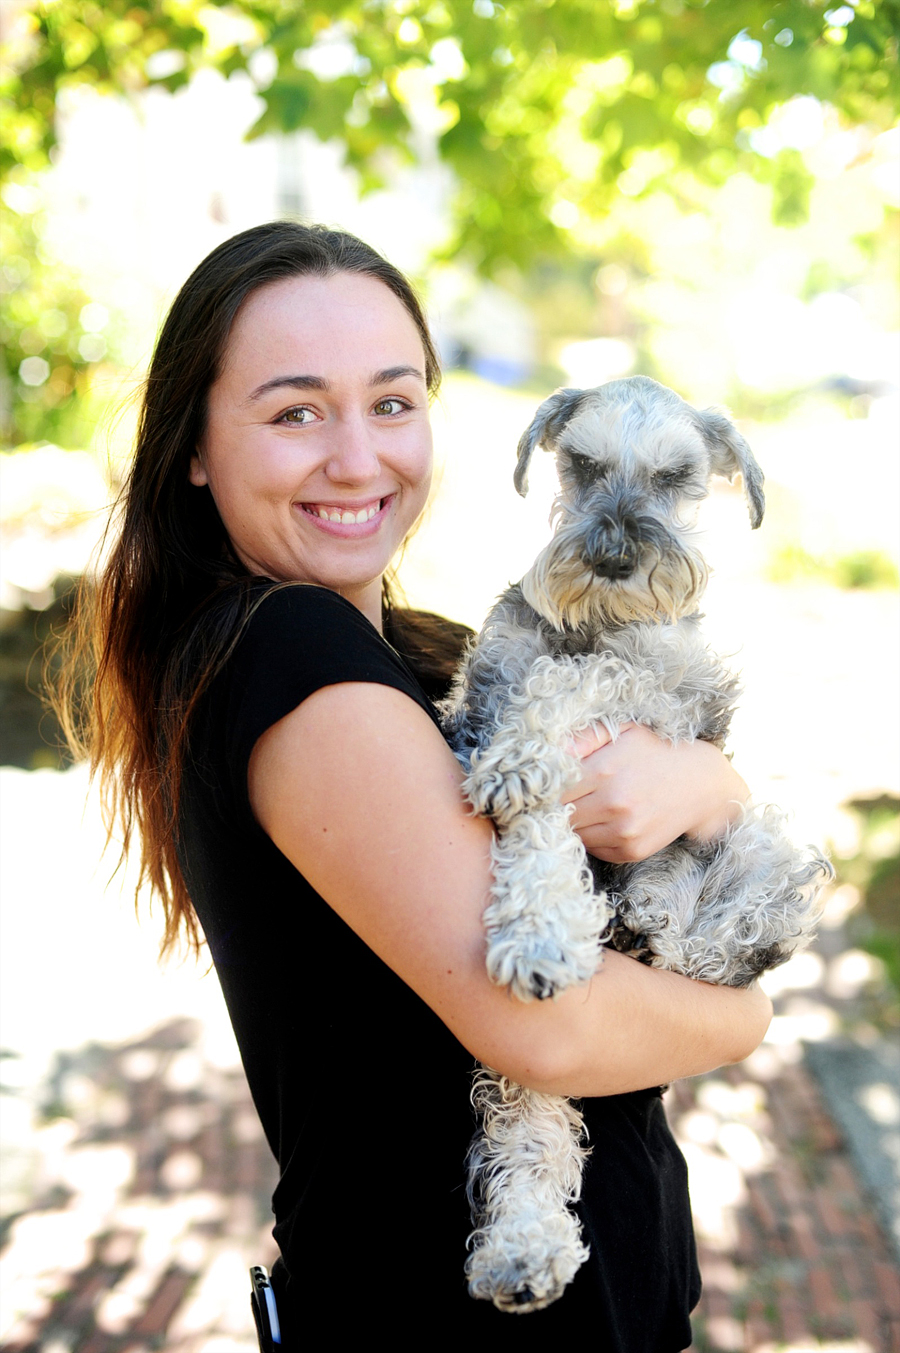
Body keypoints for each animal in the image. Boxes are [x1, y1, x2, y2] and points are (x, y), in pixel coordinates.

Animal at [441, 376, 828, 1315]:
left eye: (676, 475)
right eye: (582, 463)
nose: (616, 558)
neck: (595, 623)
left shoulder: (669, 693)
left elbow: (583, 678)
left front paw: (529, 752)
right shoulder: (482, 705)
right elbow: (534, 821)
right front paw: (539, 931)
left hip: (771, 836)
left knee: (732, 943)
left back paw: (673, 914)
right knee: (528, 1114)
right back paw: (524, 1249)